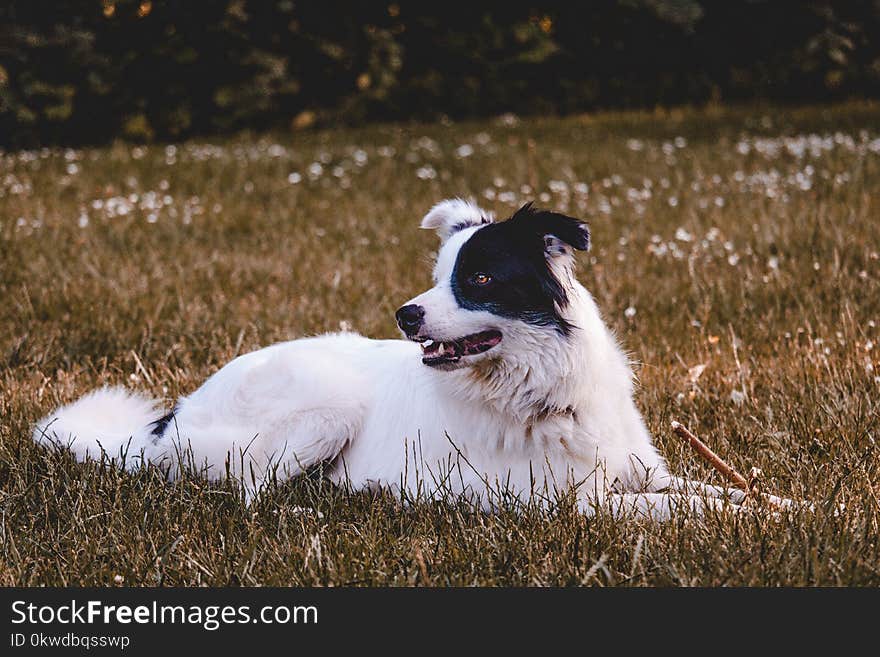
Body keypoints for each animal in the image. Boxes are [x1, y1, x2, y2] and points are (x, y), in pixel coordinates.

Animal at [34, 200, 776, 516]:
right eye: (437, 275)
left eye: (477, 278)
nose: (406, 314)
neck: (537, 388)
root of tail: (173, 418)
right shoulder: (563, 500)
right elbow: (679, 512)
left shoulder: (641, 473)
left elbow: (720, 492)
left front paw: (787, 507)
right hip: (327, 404)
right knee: (247, 490)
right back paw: (312, 511)